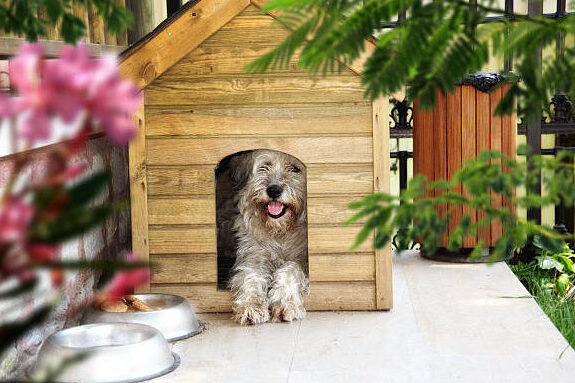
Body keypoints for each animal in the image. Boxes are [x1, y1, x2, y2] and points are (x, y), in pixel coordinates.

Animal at [230, 151, 310, 328]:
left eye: (295, 169)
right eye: (265, 166)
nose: (274, 190)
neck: (280, 231)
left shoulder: (303, 260)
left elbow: (291, 271)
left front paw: (284, 303)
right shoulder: (254, 256)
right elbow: (251, 278)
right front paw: (251, 306)